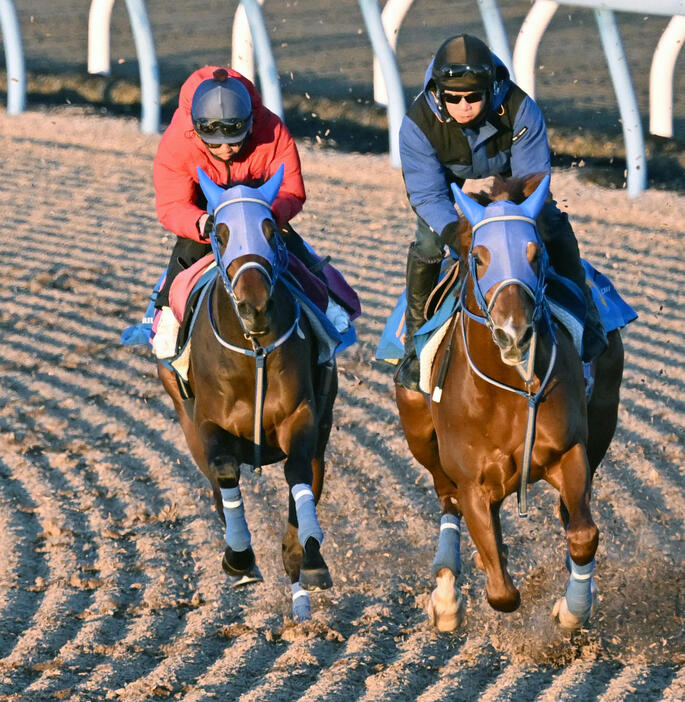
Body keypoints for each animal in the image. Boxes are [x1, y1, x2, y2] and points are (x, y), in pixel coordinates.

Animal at [156, 165, 336, 620]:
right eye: (219, 234)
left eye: (271, 230)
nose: (254, 306)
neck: (252, 352)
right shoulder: (206, 423)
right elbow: (223, 471)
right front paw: (238, 558)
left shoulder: (302, 416)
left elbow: (297, 474)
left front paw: (308, 559)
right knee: (217, 483)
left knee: (310, 473)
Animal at [396, 175, 624, 632]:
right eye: (480, 258)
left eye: (537, 255)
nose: (513, 333)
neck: (505, 393)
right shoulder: (473, 483)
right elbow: (501, 591)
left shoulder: (569, 451)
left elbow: (583, 535)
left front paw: (573, 609)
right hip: (419, 434)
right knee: (445, 500)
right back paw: (446, 599)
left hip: (604, 418)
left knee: (572, 516)